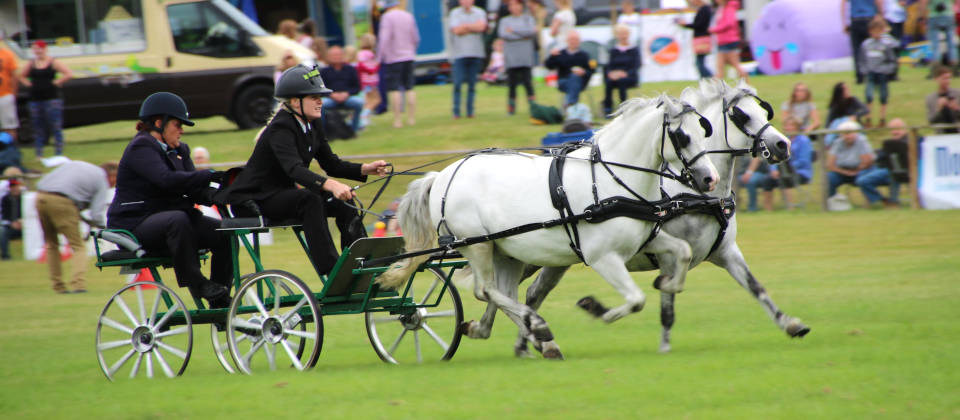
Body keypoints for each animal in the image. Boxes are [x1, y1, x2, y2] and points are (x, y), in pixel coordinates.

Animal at [380, 94, 720, 358]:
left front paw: (667, 283)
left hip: (506, 251)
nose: (710, 179)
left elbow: (683, 252)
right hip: (478, 244)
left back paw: (530, 336)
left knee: (504, 293)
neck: (610, 182)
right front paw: (597, 309)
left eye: (703, 132)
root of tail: (442, 175)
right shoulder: (603, 258)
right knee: (486, 289)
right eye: (682, 136)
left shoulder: (647, 239)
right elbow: (635, 300)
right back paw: (538, 328)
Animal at [506, 79, 812, 354]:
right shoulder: (668, 257)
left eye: (764, 112)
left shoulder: (726, 251)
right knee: (523, 292)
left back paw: (529, 342)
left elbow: (756, 287)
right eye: (742, 116)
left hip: (556, 258)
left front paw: (790, 324)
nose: (783, 145)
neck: (690, 194)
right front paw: (664, 347)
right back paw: (528, 340)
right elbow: (668, 306)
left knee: (533, 293)